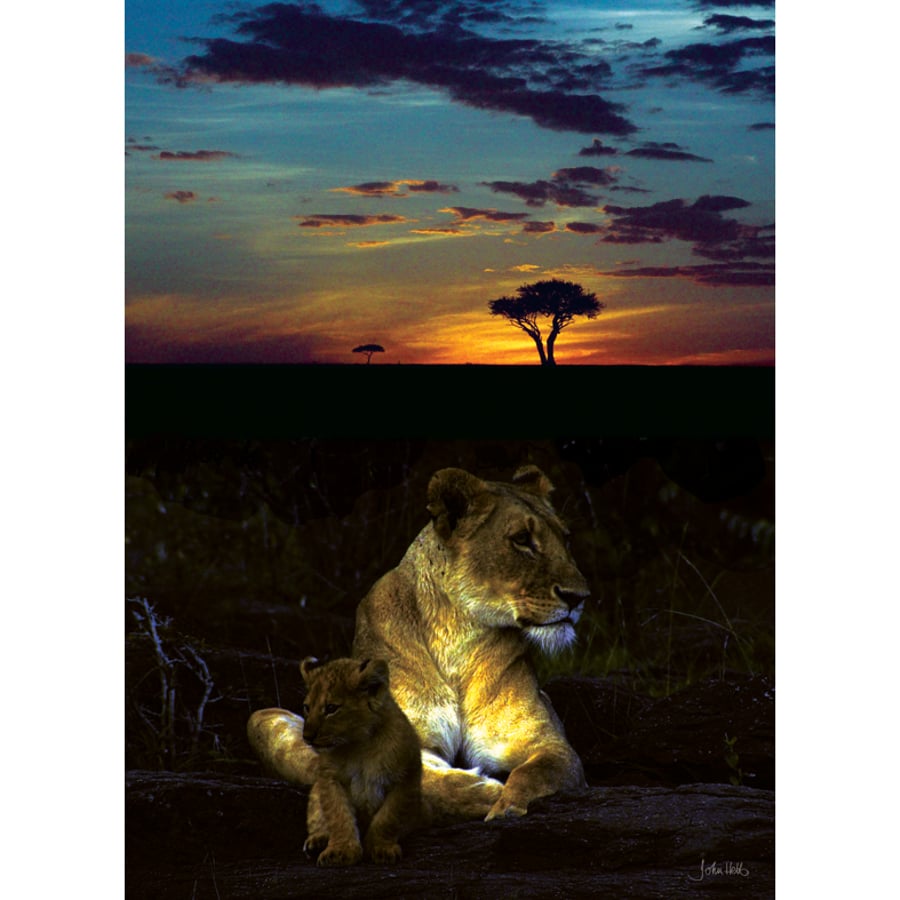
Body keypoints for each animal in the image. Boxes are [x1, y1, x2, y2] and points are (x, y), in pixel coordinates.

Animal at [248, 465, 589, 823]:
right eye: (522, 540)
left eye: (565, 538)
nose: (579, 597)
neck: (457, 634)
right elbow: (427, 781)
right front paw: (484, 792)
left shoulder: (550, 744)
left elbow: (534, 772)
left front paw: (505, 803)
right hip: (260, 719)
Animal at [298, 656, 422, 866]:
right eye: (307, 708)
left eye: (331, 708)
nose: (307, 737)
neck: (359, 746)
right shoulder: (330, 779)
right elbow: (338, 816)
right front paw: (341, 851)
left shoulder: (407, 776)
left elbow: (388, 817)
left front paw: (380, 848)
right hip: (315, 793)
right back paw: (318, 841)